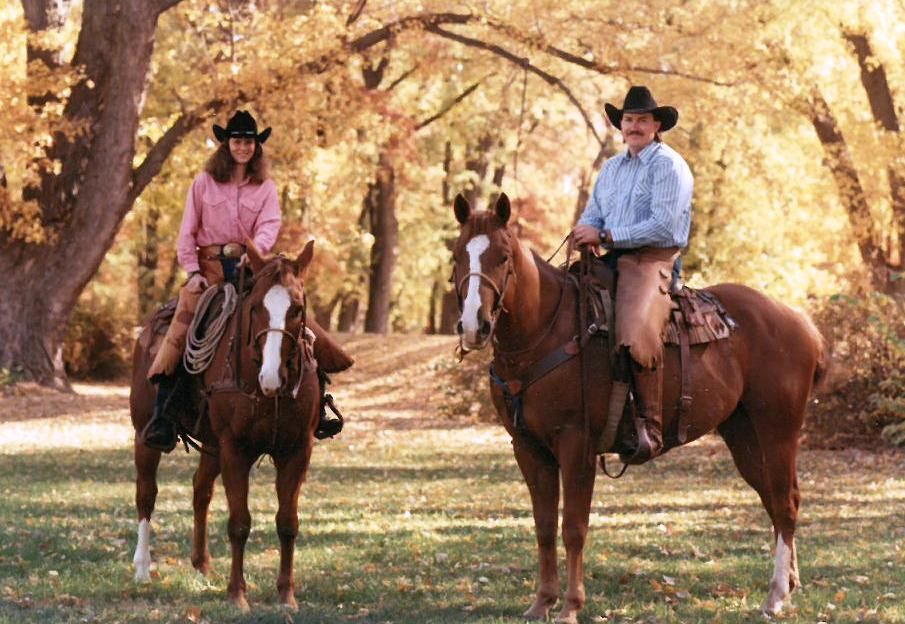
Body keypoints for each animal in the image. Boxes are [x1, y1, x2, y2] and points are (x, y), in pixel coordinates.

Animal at [131, 241, 320, 612]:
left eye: (297, 308)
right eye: (256, 307)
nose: (271, 378)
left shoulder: (296, 451)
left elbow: (287, 523)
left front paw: (286, 596)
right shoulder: (236, 449)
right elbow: (239, 523)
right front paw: (237, 595)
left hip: (212, 447)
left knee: (200, 490)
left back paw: (202, 564)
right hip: (144, 437)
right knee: (147, 494)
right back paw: (143, 568)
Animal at [452, 193, 828, 620]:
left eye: (502, 256)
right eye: (457, 255)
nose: (474, 326)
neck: (545, 332)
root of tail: (800, 322)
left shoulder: (577, 444)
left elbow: (573, 528)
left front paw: (570, 607)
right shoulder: (528, 447)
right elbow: (544, 526)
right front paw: (541, 603)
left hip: (777, 431)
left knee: (785, 502)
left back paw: (776, 596)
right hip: (743, 435)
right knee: (775, 500)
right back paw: (790, 584)